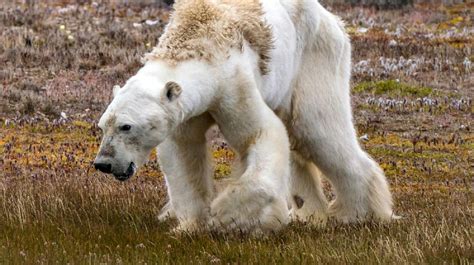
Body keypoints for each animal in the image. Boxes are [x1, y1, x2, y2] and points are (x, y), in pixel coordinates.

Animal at [94, 0, 394, 231]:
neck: (197, 39)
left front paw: (227, 214)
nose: (103, 163)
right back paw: (309, 214)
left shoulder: (232, 84)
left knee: (317, 130)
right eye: (102, 126)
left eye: (126, 126)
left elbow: (261, 134)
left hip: (313, 57)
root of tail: (330, 17)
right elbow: (183, 153)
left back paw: (358, 214)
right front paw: (190, 225)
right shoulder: (186, 112)